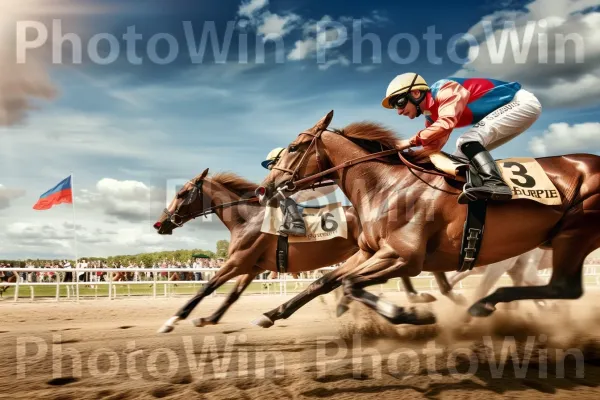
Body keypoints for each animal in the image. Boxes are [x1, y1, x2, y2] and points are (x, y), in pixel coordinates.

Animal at [152, 168, 462, 332]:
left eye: (181, 194)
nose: (159, 223)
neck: (248, 217)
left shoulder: (238, 262)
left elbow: (206, 288)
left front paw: (171, 320)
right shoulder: (252, 266)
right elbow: (232, 296)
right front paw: (209, 318)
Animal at [254, 111, 600, 326]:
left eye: (294, 147)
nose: (264, 188)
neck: (386, 185)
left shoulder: (404, 257)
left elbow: (350, 284)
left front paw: (411, 314)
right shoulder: (369, 253)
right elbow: (325, 280)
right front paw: (272, 313)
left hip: (574, 233)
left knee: (563, 288)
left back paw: (483, 304)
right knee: (560, 289)